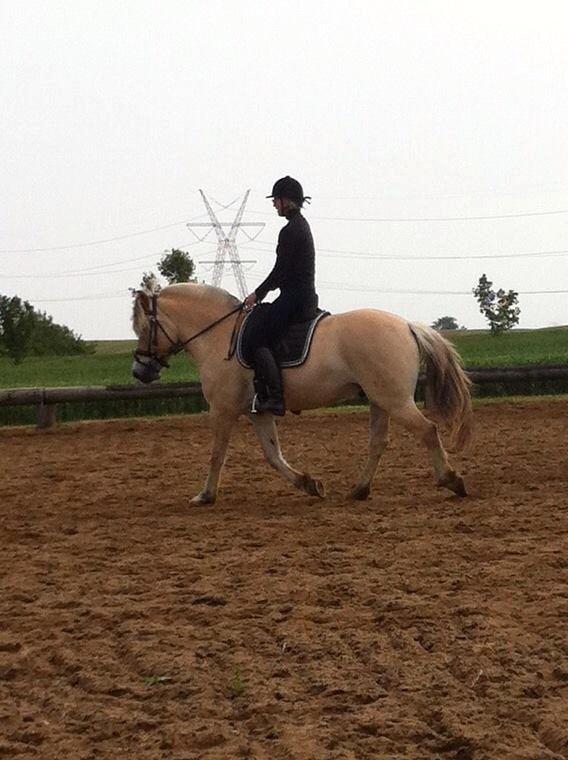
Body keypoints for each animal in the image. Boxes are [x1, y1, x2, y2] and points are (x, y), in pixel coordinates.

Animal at [131, 280, 472, 504]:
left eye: (144, 329)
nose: (139, 372)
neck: (218, 335)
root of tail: (407, 325)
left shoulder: (223, 410)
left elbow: (217, 454)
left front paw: (205, 495)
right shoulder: (259, 411)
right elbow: (273, 455)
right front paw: (309, 484)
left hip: (395, 400)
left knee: (427, 430)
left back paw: (452, 481)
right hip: (380, 400)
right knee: (378, 442)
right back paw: (359, 490)